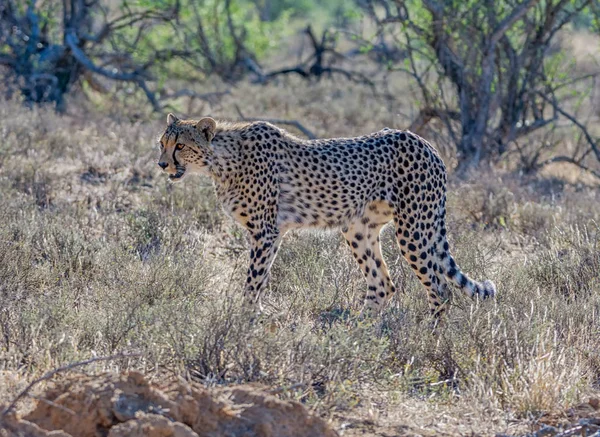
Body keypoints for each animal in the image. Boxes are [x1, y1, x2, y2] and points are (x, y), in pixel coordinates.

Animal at [157, 112, 494, 316]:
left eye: (180, 146)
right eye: (162, 143)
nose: (162, 165)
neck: (222, 161)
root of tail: (425, 143)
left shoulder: (265, 233)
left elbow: (253, 281)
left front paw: (243, 321)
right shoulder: (272, 234)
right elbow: (260, 279)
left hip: (413, 230)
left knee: (439, 288)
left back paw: (431, 337)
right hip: (358, 230)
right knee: (383, 284)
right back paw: (359, 335)